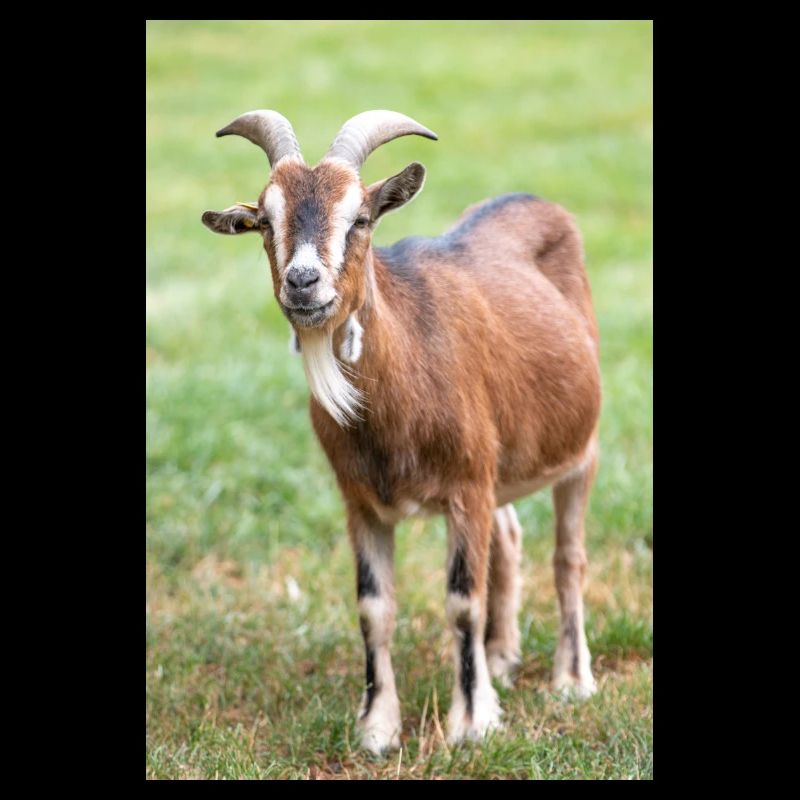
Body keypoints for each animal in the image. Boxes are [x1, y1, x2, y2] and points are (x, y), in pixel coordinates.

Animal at [202, 110, 601, 754]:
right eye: (264, 220)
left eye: (360, 218)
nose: (303, 281)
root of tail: (533, 200)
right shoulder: (362, 501)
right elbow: (373, 607)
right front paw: (377, 726)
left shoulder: (466, 485)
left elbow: (462, 600)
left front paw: (472, 721)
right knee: (510, 537)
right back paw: (501, 657)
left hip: (579, 450)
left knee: (569, 559)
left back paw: (571, 679)